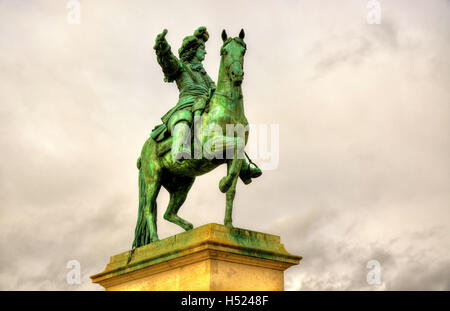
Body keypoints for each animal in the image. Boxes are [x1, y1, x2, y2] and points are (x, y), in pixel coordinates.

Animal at [132, 29, 250, 249]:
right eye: (224, 51)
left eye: (243, 51)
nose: (237, 75)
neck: (228, 109)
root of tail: (144, 149)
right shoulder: (212, 148)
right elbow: (236, 148)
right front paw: (222, 183)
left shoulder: (231, 158)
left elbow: (232, 189)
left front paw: (229, 225)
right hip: (154, 179)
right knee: (149, 209)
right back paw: (155, 241)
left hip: (183, 183)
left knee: (168, 212)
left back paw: (187, 229)